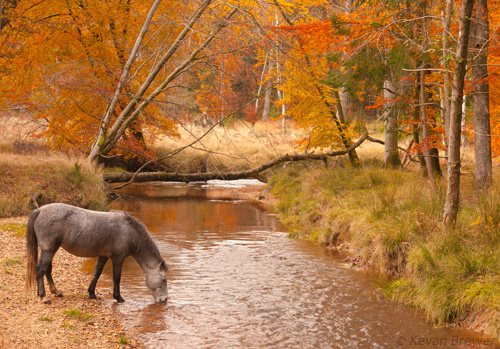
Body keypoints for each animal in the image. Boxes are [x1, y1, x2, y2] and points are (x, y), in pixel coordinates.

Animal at [24, 203, 168, 304]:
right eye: (164, 279)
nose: (165, 299)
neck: (128, 230)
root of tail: (40, 210)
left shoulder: (103, 256)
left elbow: (96, 273)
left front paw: (91, 293)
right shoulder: (118, 257)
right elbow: (116, 277)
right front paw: (118, 297)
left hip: (50, 250)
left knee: (47, 270)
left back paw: (55, 292)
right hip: (49, 250)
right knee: (40, 269)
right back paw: (44, 297)